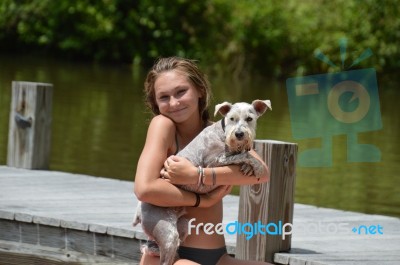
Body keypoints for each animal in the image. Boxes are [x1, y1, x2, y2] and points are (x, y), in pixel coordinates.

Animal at [134, 99, 272, 264]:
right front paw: (258, 167)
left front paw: (248, 168)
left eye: (249, 119)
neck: (224, 133)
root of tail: (139, 212)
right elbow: (244, 156)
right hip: (168, 234)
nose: (239, 134)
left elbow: (244, 155)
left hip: (182, 227)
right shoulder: (216, 161)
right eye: (232, 118)